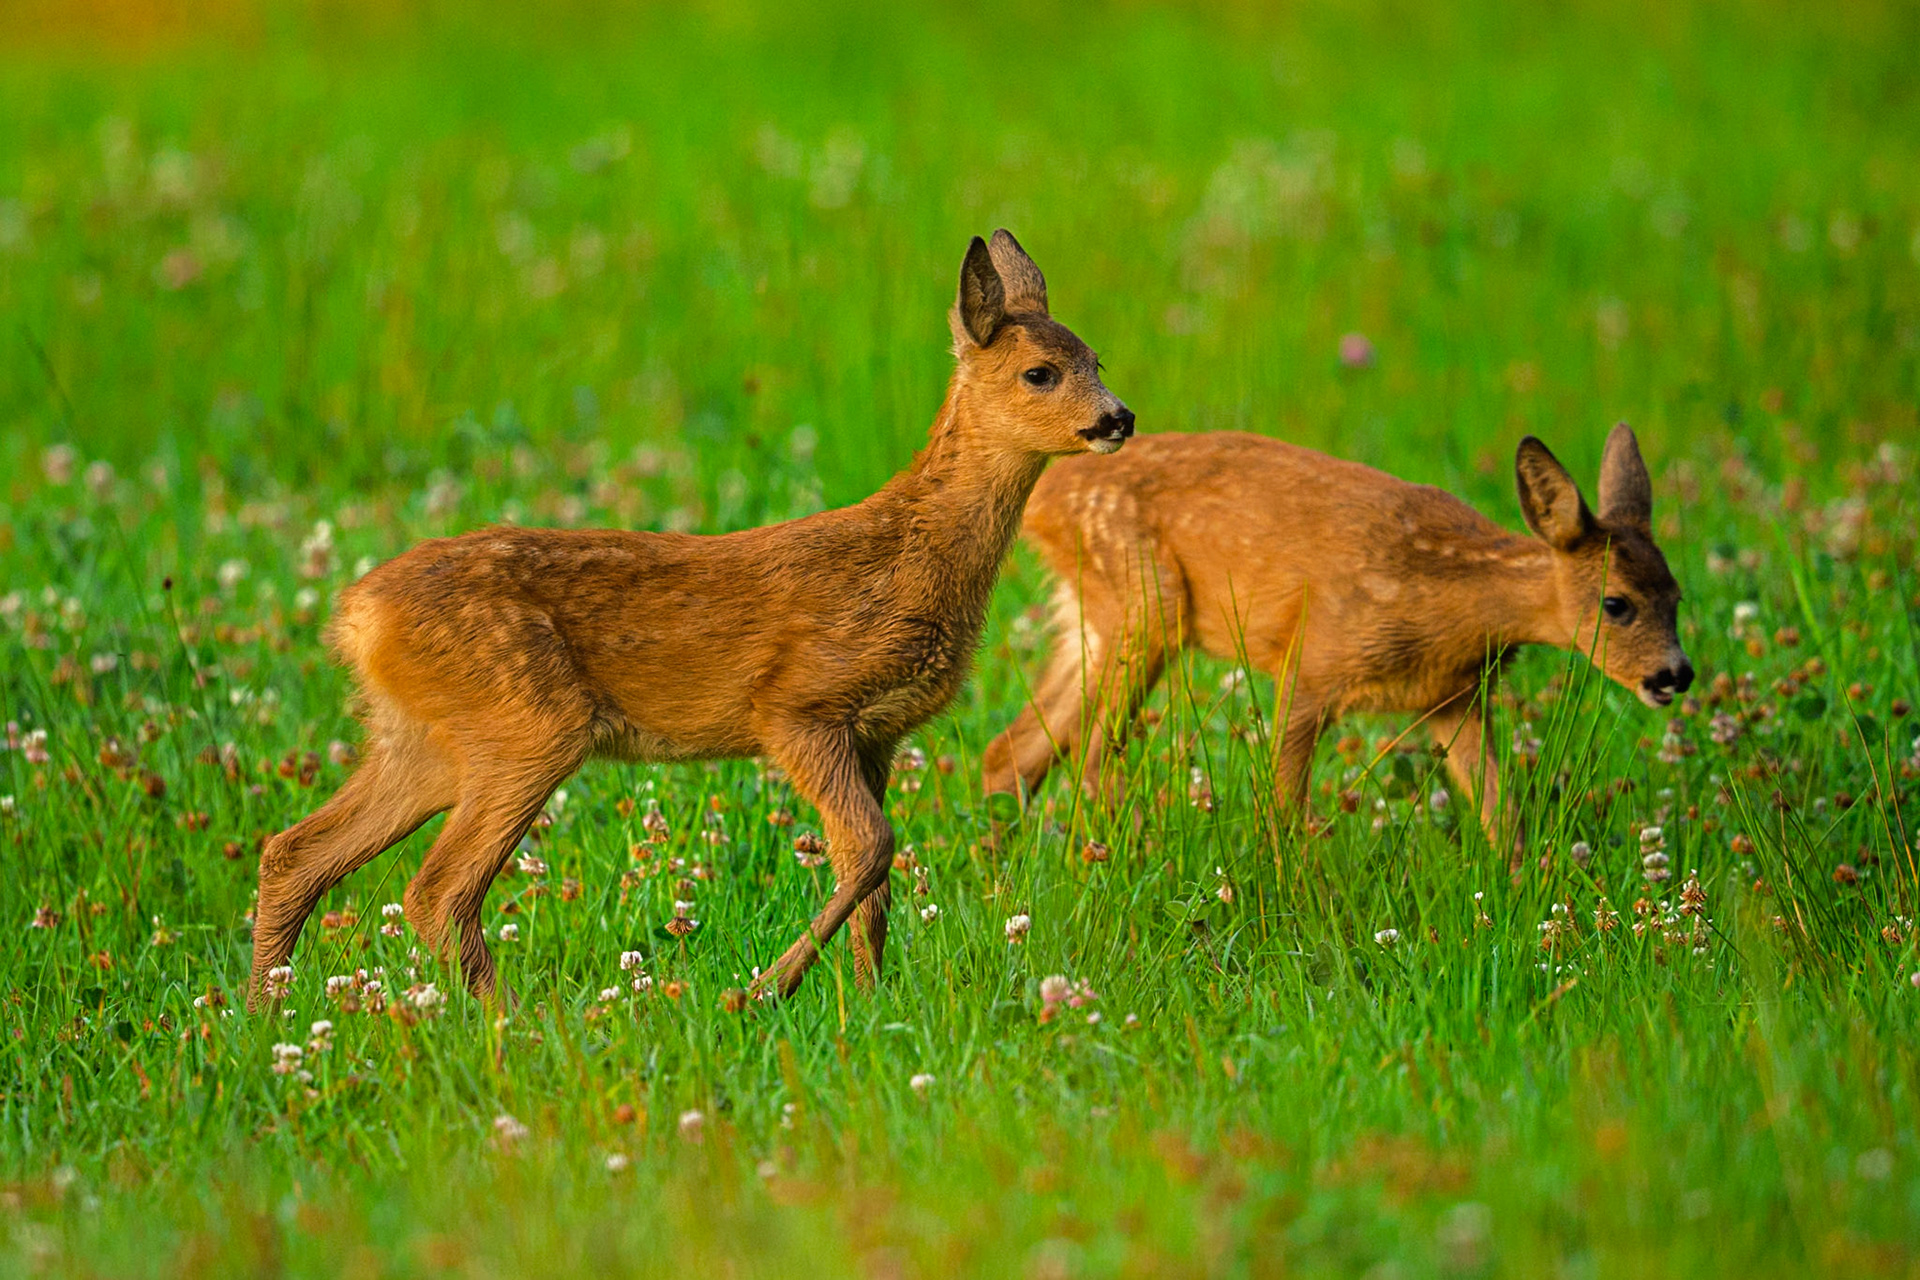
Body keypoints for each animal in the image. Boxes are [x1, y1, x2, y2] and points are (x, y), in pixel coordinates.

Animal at [248, 230, 1135, 1009]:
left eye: (1097, 359)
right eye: (1040, 372)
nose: (1119, 418)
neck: (912, 551)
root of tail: (355, 614)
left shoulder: (878, 731)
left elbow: (878, 879)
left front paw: (870, 999)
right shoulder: (799, 704)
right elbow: (871, 849)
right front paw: (766, 988)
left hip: (427, 737)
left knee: (295, 852)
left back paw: (265, 1015)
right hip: (527, 721)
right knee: (437, 890)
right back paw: (520, 1023)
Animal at [982, 424, 1691, 854]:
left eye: (1678, 597)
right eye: (1616, 604)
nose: (1674, 675)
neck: (1451, 604)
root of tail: (1044, 497)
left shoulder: (1453, 697)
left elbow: (1499, 811)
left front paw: (1526, 888)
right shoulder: (1315, 659)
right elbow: (1281, 804)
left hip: (1094, 613)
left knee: (1014, 748)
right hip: (1147, 599)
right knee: (1092, 756)